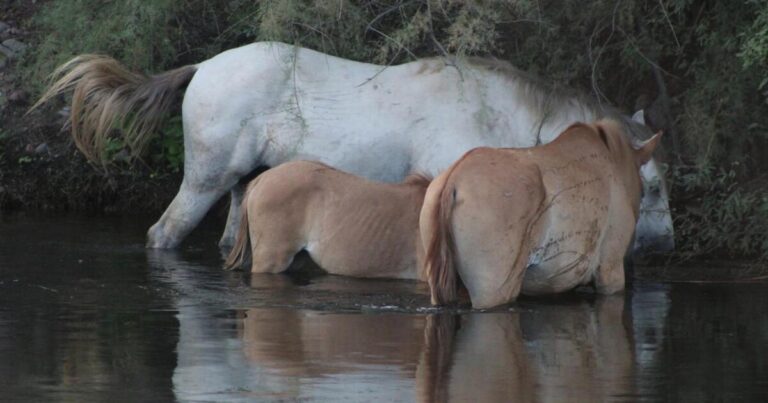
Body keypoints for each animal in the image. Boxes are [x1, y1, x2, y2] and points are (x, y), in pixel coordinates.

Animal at [32, 41, 673, 253]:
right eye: (655, 187)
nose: (664, 245)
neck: (493, 108)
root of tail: (202, 68)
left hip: (244, 185)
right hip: (207, 179)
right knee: (163, 235)